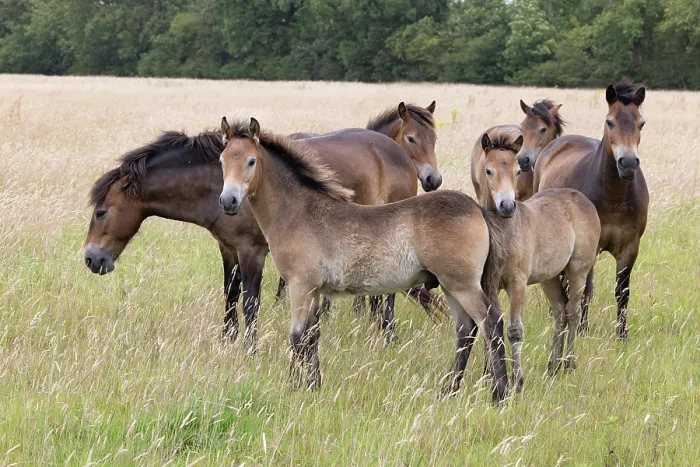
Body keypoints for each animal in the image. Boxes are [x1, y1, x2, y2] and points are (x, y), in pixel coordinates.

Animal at [218, 117, 509, 403]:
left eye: (250, 161)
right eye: (222, 160)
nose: (228, 201)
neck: (299, 211)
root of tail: (478, 209)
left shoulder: (301, 285)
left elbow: (297, 336)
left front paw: (294, 387)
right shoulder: (314, 290)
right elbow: (312, 335)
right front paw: (314, 385)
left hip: (463, 285)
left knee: (491, 324)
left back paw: (500, 394)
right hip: (451, 287)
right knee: (466, 331)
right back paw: (448, 391)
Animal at [474, 128, 600, 392]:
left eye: (517, 171)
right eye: (489, 170)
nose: (507, 206)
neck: (505, 233)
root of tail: (581, 198)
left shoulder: (517, 283)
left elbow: (514, 330)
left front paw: (517, 381)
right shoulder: (489, 285)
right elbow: (490, 325)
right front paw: (488, 374)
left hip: (578, 270)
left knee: (573, 312)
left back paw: (569, 363)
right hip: (549, 277)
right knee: (560, 310)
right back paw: (553, 365)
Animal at [534, 80, 649, 339]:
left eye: (641, 123)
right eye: (610, 121)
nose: (628, 163)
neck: (614, 196)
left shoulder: (630, 248)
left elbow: (622, 292)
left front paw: (622, 335)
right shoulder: (590, 246)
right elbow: (584, 288)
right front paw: (581, 328)